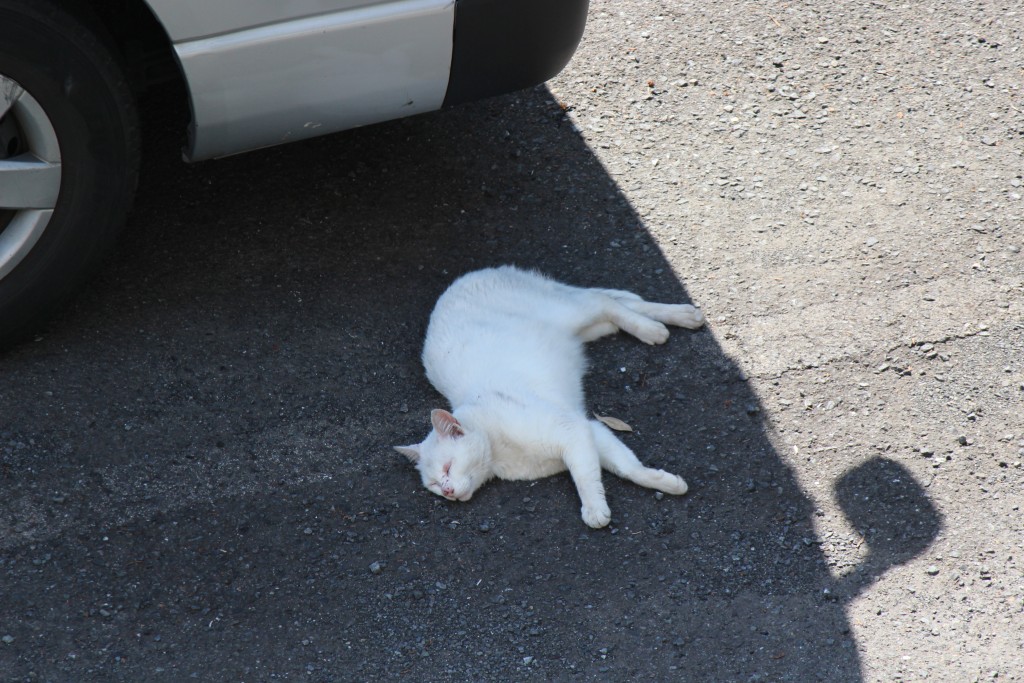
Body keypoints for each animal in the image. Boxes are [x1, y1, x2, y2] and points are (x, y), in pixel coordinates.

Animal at [393, 266, 704, 528]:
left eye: (448, 467)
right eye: (434, 484)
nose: (447, 491)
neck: (498, 452)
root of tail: (472, 274)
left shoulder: (573, 430)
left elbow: (590, 477)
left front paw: (594, 510)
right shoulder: (591, 429)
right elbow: (626, 467)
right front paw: (666, 482)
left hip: (569, 312)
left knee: (605, 300)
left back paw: (656, 328)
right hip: (584, 329)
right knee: (617, 308)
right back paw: (679, 317)